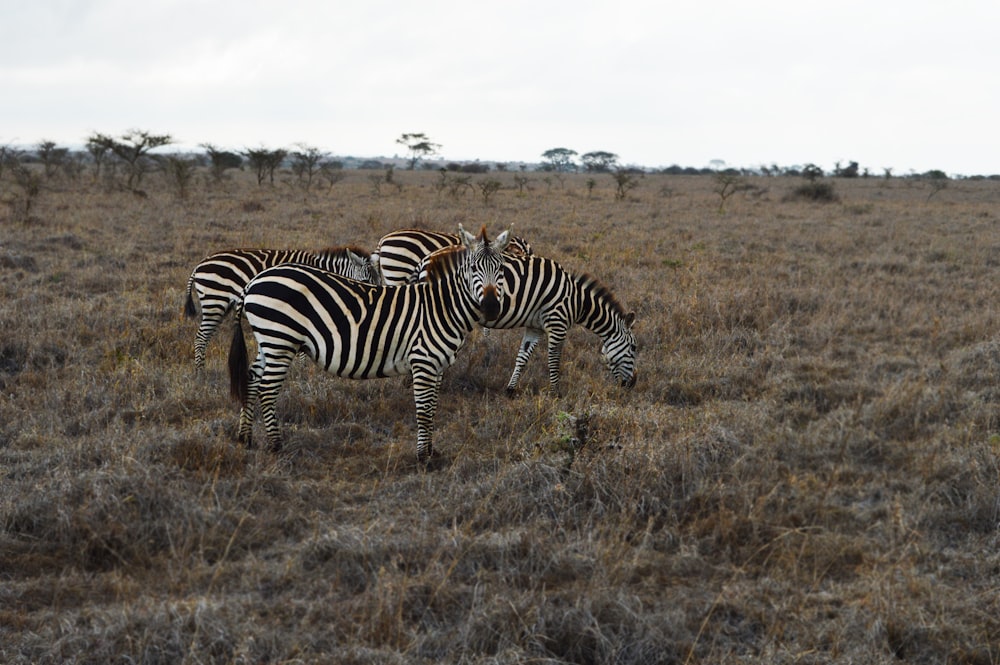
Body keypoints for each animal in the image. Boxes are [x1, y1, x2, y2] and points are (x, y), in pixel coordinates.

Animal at [184, 245, 378, 370]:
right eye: (365, 281)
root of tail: (199, 265)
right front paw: (303, 373)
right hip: (214, 303)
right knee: (201, 338)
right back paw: (200, 375)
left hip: (219, 307)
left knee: (205, 338)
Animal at [230, 226, 512, 460]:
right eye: (473, 269)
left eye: (500, 270)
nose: (490, 307)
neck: (441, 307)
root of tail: (253, 282)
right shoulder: (423, 361)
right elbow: (423, 410)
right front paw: (423, 458)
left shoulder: (438, 365)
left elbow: (432, 408)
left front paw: (432, 452)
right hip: (280, 341)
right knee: (267, 389)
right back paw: (276, 446)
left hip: (268, 341)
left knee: (251, 379)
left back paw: (246, 438)